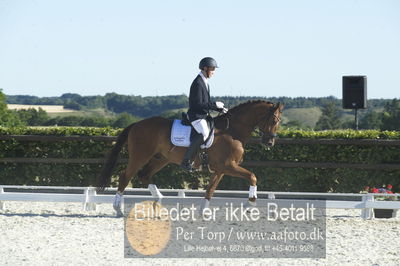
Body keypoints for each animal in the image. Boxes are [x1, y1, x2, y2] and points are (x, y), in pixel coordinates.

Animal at [98, 101, 282, 215]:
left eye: (279, 121)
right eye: (274, 120)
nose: (270, 142)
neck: (232, 131)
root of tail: (137, 124)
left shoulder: (220, 169)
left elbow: (210, 189)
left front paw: (203, 211)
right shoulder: (228, 166)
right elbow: (252, 176)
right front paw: (250, 204)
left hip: (161, 158)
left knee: (144, 175)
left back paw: (158, 201)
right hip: (140, 156)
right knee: (125, 177)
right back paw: (118, 209)